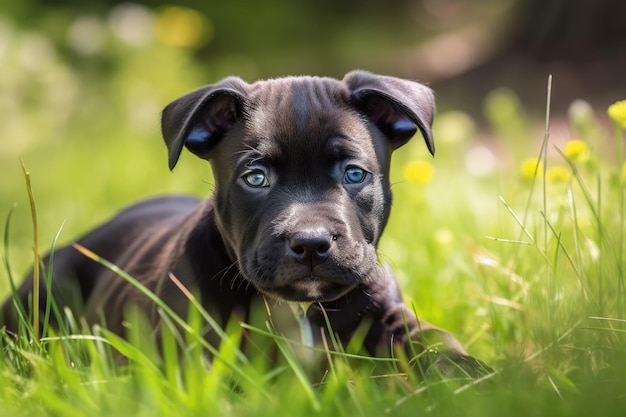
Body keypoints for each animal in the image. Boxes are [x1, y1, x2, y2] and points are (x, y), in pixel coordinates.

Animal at [1, 70, 488, 376]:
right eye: (255, 178)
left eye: (354, 174)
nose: (311, 243)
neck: (298, 307)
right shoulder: (187, 345)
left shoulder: (390, 316)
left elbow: (434, 339)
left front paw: (473, 375)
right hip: (48, 285)